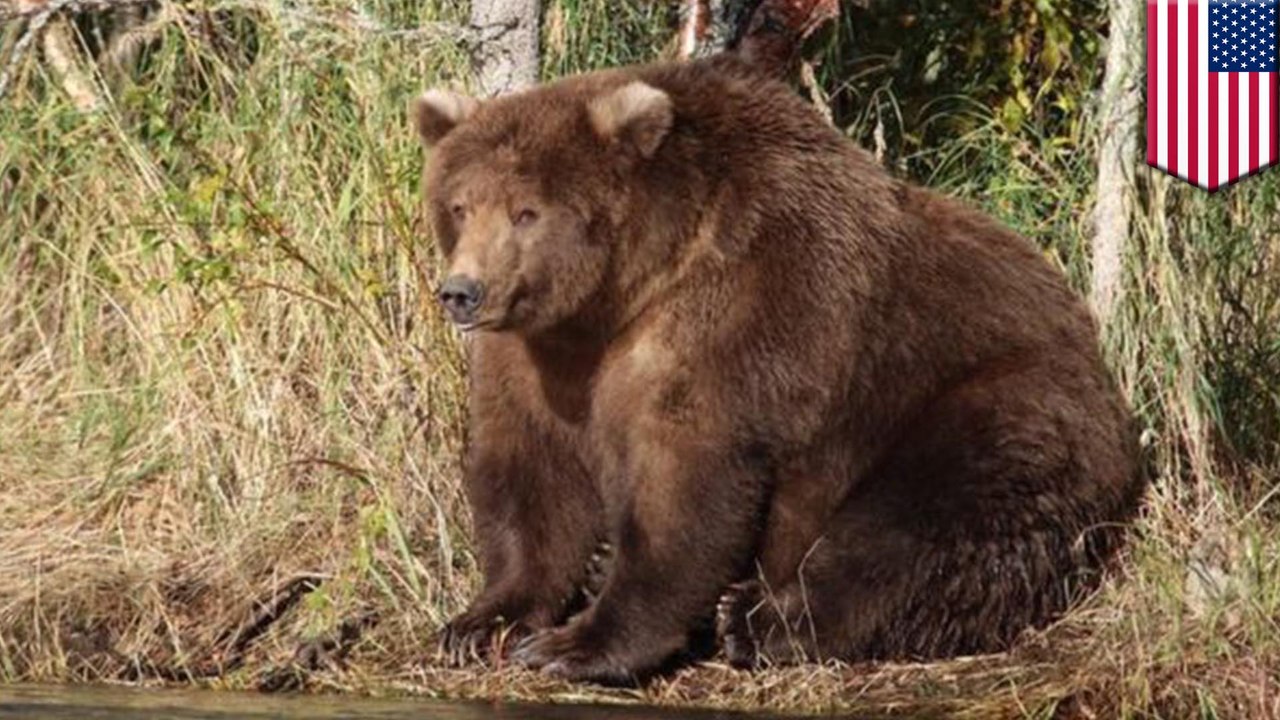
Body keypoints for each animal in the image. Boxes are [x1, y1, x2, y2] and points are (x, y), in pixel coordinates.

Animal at [412, 54, 1144, 684]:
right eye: (459, 204)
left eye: (526, 211)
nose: (462, 292)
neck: (620, 293)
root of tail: (1101, 364)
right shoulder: (539, 355)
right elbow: (531, 474)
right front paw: (481, 622)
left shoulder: (741, 310)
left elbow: (684, 481)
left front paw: (577, 643)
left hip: (989, 403)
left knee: (919, 528)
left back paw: (756, 620)